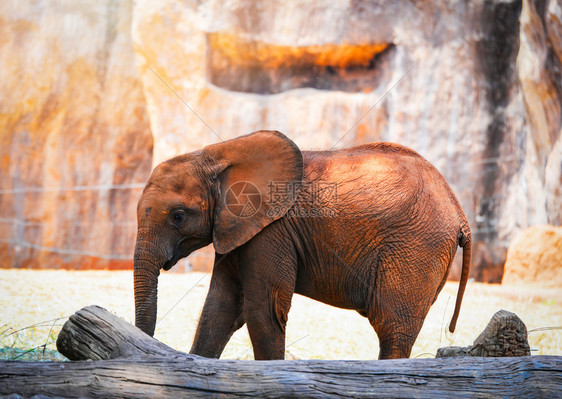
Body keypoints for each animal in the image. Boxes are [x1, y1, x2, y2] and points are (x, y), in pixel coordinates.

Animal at [132, 130, 468, 360]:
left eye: (178, 216)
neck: (215, 155)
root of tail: (457, 208)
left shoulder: (272, 231)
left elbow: (262, 310)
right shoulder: (237, 229)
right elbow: (220, 306)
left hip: (417, 247)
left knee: (393, 327)